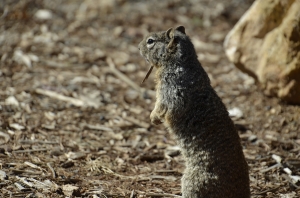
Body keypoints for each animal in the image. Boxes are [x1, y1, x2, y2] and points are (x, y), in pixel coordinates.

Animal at [138, 25, 251, 197]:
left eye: (150, 41)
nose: (138, 48)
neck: (183, 61)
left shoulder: (171, 90)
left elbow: (163, 107)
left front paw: (154, 118)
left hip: (192, 182)